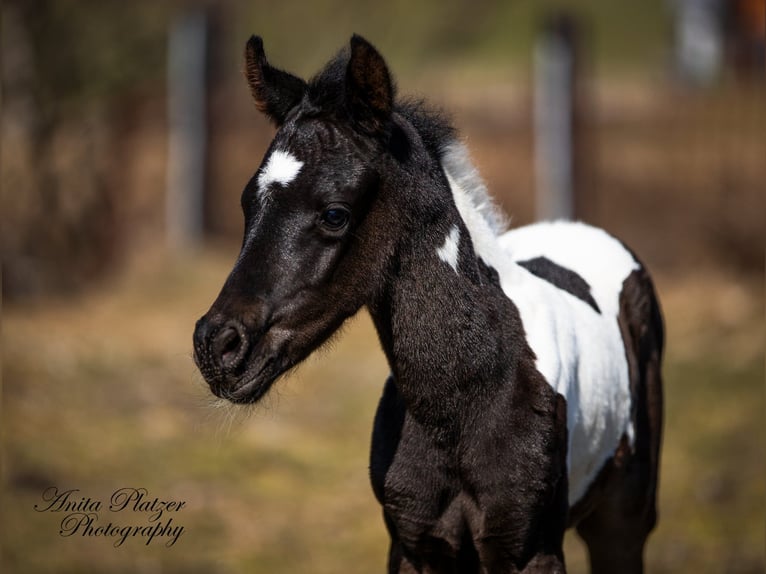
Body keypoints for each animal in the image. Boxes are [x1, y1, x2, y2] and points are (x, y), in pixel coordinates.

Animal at [193, 34, 664, 574]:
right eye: (248, 203)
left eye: (335, 213)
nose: (217, 346)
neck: (460, 406)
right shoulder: (415, 547)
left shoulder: (531, 551)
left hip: (624, 521)